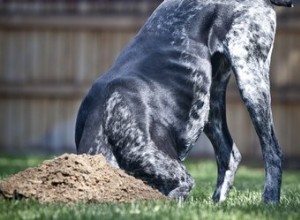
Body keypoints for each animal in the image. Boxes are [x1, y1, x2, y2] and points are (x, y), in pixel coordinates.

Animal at [75, 0, 292, 204]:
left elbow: (173, 194)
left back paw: (269, 200)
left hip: (249, 76)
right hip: (209, 102)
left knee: (272, 150)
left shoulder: (177, 176)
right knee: (229, 155)